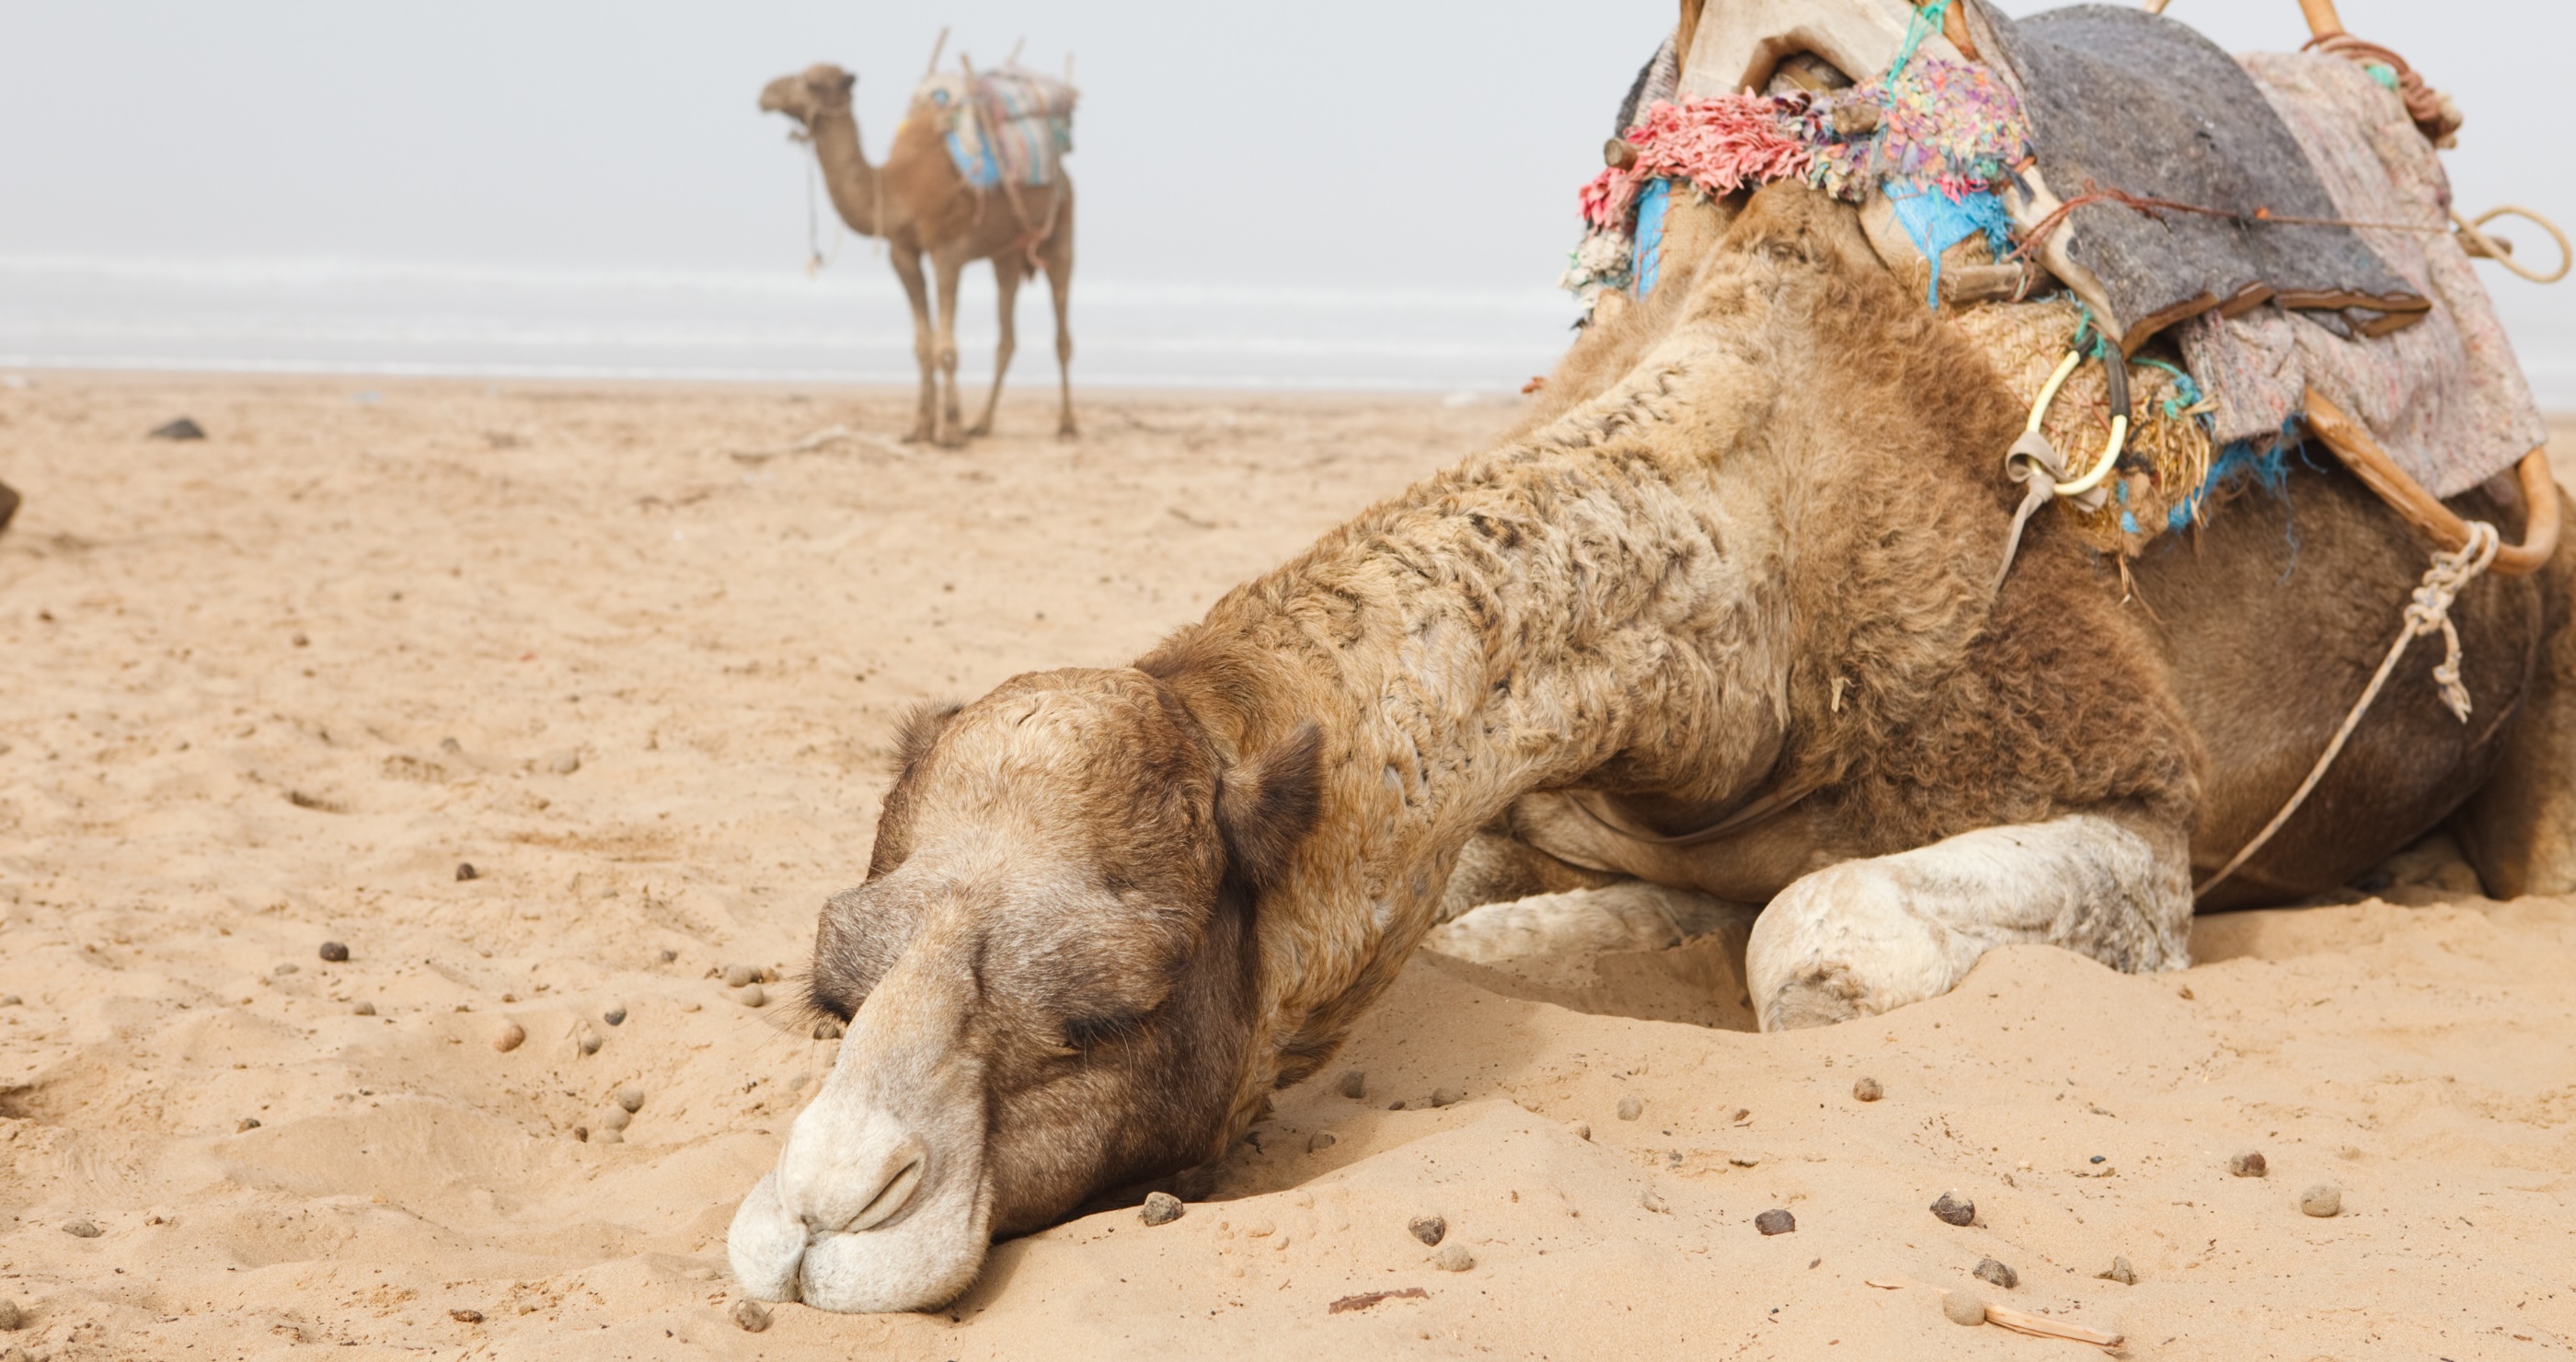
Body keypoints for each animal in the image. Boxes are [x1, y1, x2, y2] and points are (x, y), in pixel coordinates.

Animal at [726, 181, 2576, 1313]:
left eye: (1111, 1005)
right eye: (832, 980)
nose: (820, 1218)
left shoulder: (2136, 809)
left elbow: (1808, 934)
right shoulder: (1528, 811)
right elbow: (1511, 934)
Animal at [759, 63, 1076, 446]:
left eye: (815, 83)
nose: (767, 92)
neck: (898, 185)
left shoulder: (947, 251)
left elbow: (945, 347)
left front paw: (951, 432)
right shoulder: (903, 251)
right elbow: (923, 345)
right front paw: (921, 429)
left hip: (1062, 229)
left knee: (1061, 331)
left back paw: (1067, 425)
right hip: (1007, 253)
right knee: (1007, 335)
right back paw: (982, 424)